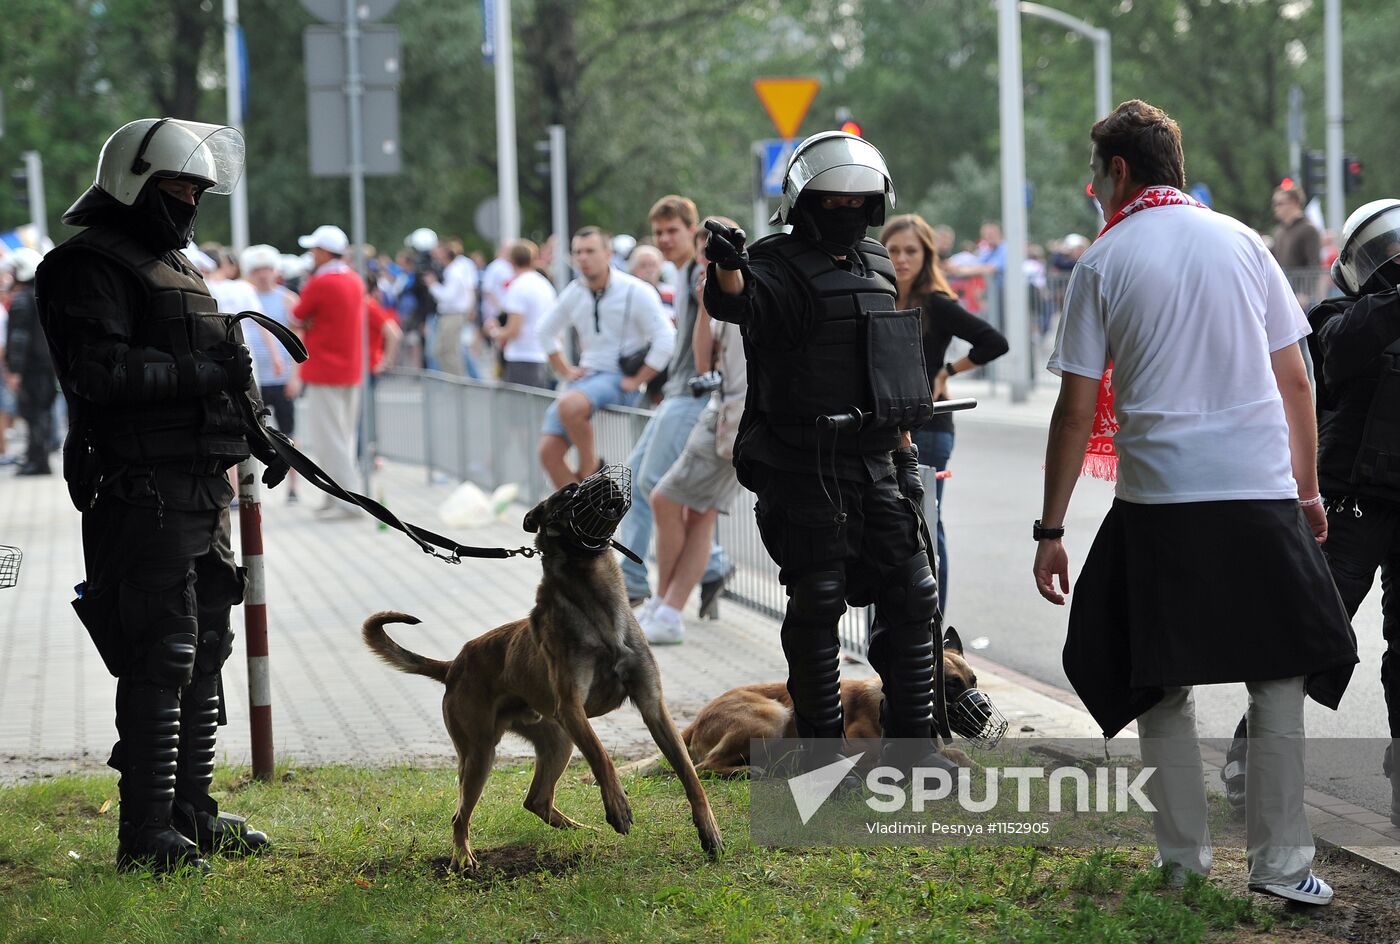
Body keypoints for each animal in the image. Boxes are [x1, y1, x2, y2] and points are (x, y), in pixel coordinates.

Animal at [361, 467, 722, 873]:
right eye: (568, 492)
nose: (610, 481)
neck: (595, 600)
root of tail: (454, 665)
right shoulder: (572, 708)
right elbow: (602, 756)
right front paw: (618, 805)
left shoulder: (652, 706)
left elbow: (689, 774)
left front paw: (708, 829)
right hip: (481, 753)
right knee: (460, 815)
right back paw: (463, 856)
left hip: (558, 739)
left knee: (536, 799)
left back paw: (582, 830)